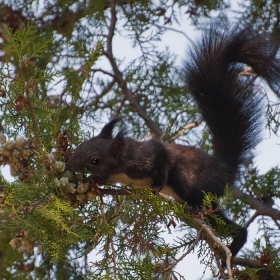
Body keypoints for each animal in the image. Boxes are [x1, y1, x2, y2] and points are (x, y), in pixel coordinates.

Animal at [65, 25, 280, 258]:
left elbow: (162, 161)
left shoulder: (148, 155)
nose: (69, 164)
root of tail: (224, 169)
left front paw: (158, 185)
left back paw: (228, 244)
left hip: (192, 181)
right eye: (81, 145)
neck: (121, 164)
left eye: (95, 160)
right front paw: (94, 182)